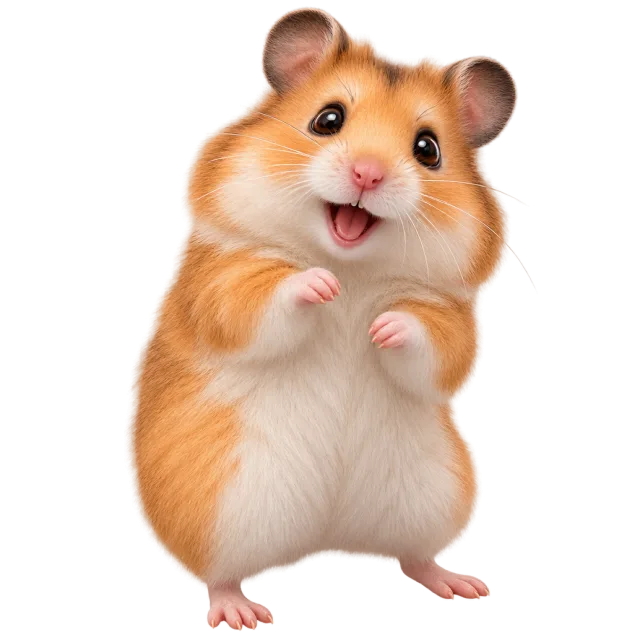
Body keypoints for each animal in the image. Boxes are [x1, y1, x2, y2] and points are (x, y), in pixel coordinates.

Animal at [125, 7, 518, 631]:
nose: (367, 175)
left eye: (428, 149)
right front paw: (322, 287)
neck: (352, 265)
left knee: (413, 555)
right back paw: (244, 613)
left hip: (437, 494)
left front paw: (381, 326)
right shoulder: (221, 280)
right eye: (327, 119)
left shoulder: (454, 319)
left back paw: (462, 585)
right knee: (216, 575)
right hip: (217, 506)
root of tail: (329, 541)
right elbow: (265, 298)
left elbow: (433, 343)